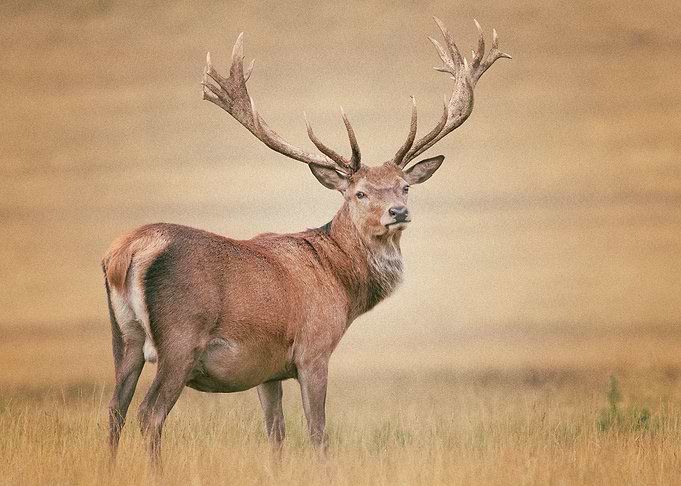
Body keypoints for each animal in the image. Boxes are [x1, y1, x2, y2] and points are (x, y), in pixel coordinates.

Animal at [102, 17, 510, 466]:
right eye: (359, 193)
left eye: (405, 187)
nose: (398, 212)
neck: (342, 284)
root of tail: (129, 251)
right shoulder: (313, 350)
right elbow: (318, 432)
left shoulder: (266, 368)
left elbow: (276, 433)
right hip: (180, 339)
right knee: (149, 414)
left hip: (124, 337)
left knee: (115, 409)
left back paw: (110, 469)